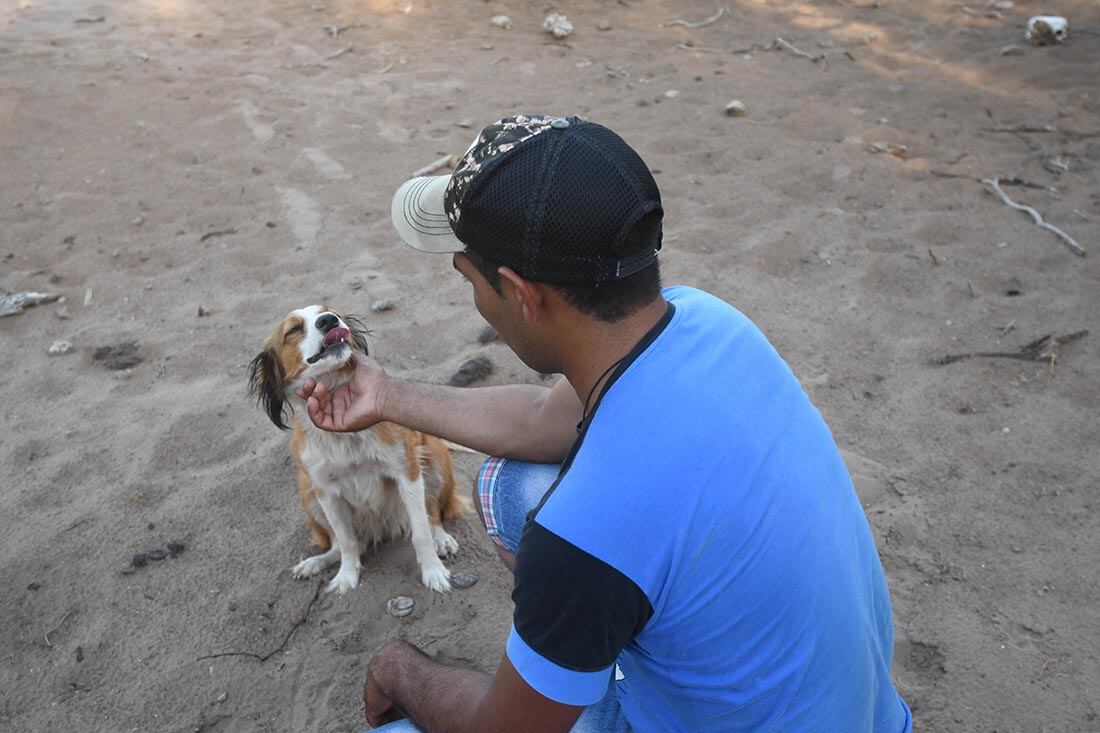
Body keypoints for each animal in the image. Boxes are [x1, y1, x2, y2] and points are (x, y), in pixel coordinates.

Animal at [249, 303, 468, 594]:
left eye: (331, 312)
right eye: (293, 330)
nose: (329, 320)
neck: (344, 437)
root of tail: (382, 528)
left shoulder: (407, 472)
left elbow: (420, 531)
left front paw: (433, 571)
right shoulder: (325, 491)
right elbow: (346, 542)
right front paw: (346, 576)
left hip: (433, 457)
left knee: (432, 512)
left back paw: (441, 539)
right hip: (306, 490)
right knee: (344, 544)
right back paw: (315, 563)